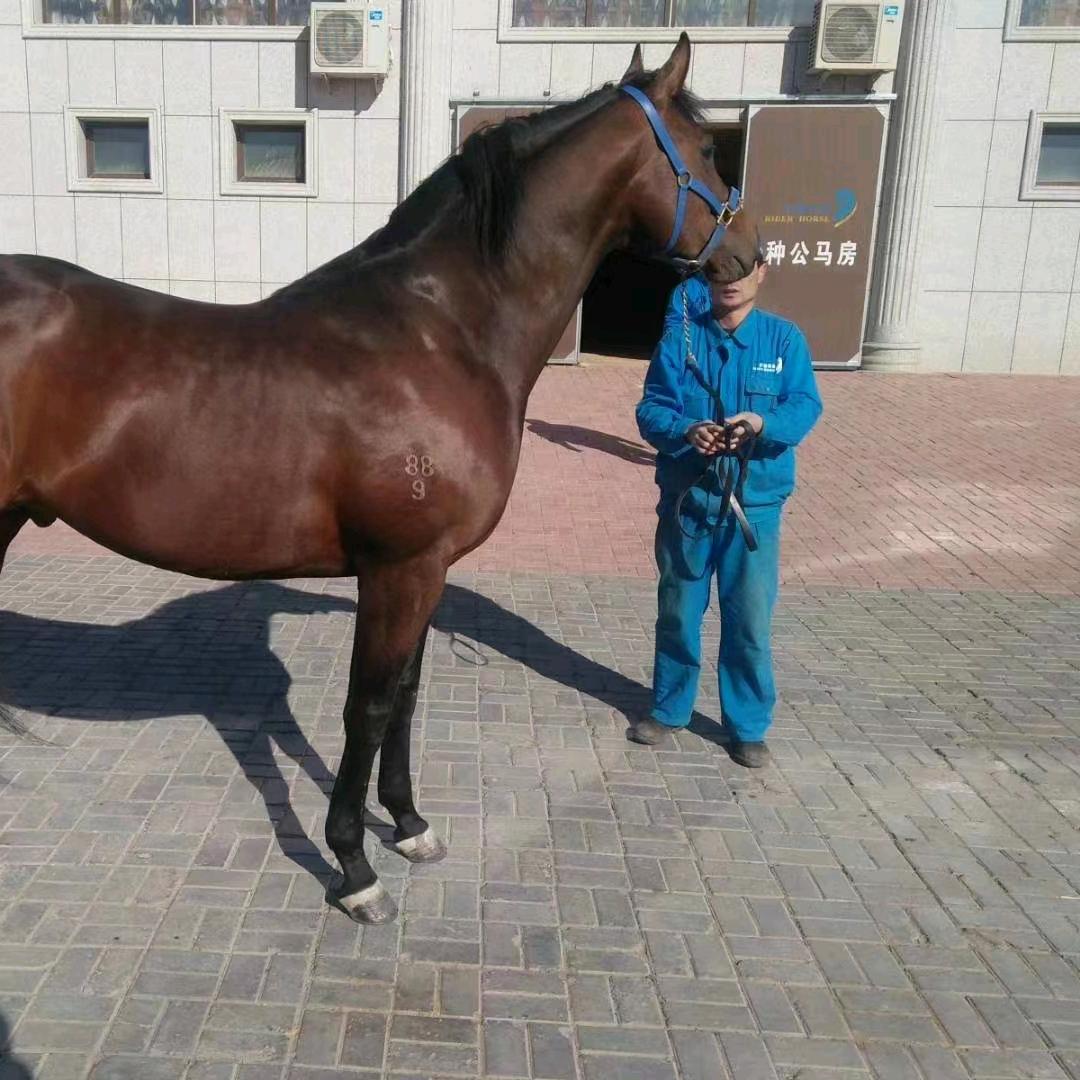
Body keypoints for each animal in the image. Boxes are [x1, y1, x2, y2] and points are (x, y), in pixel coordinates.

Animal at [0, 34, 759, 924]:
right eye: (705, 147)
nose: (750, 256)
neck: (439, 332)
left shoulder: (426, 570)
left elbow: (405, 697)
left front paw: (409, 825)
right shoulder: (399, 569)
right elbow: (367, 706)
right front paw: (354, 867)